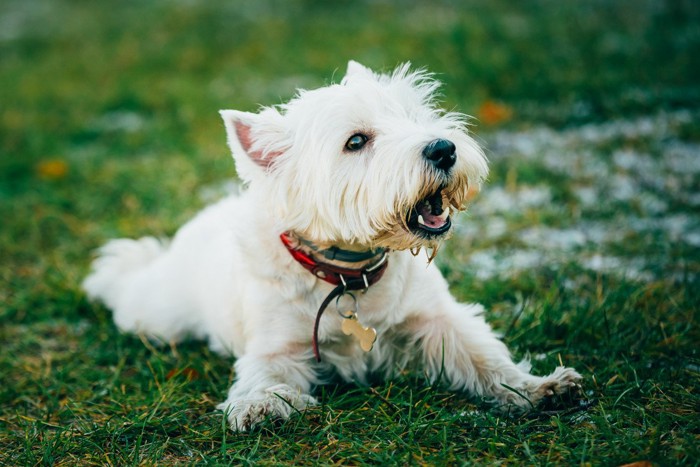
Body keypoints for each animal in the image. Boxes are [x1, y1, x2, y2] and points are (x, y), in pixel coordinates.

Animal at [85, 61, 584, 432]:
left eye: (414, 117)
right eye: (356, 141)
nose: (444, 149)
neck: (350, 273)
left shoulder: (436, 320)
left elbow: (484, 356)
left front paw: (541, 387)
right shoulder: (276, 347)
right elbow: (264, 375)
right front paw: (260, 406)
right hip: (156, 313)